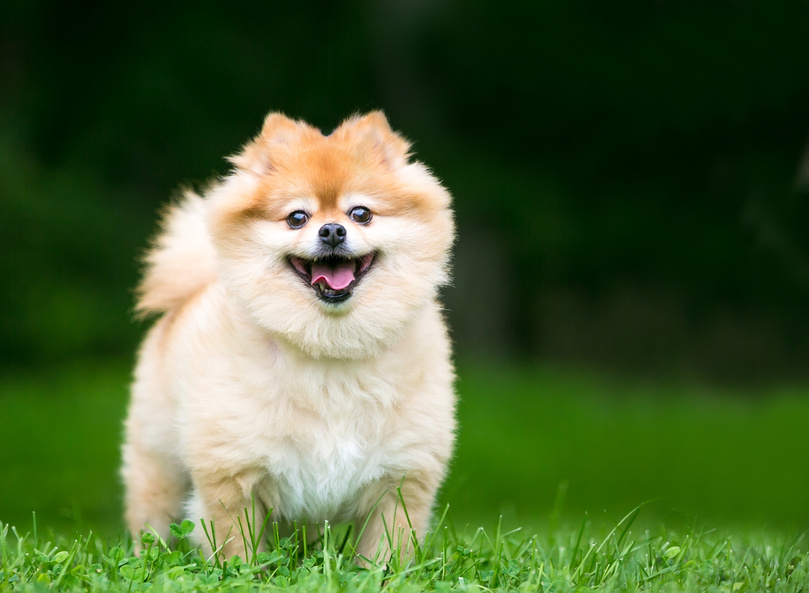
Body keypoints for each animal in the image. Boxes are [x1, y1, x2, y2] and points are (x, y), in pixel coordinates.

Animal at [123, 110, 458, 560]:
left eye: (361, 214)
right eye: (297, 217)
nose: (332, 230)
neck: (329, 347)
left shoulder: (401, 477)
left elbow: (388, 551)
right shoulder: (233, 472)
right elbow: (237, 548)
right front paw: (242, 571)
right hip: (159, 463)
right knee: (152, 516)